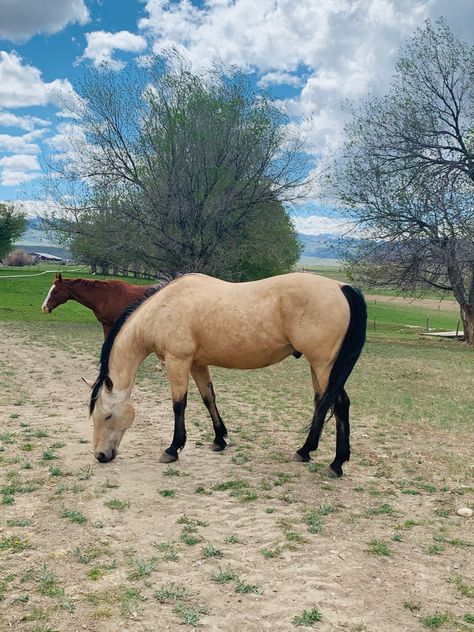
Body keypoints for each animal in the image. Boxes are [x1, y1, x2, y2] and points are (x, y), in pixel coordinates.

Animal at [87, 272, 366, 474]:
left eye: (107, 416)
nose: (101, 455)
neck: (163, 309)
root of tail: (341, 286)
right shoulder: (197, 364)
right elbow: (208, 398)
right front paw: (219, 440)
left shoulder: (177, 362)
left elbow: (179, 405)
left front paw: (173, 449)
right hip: (318, 366)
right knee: (322, 402)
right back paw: (306, 451)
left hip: (324, 365)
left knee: (340, 404)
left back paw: (335, 463)